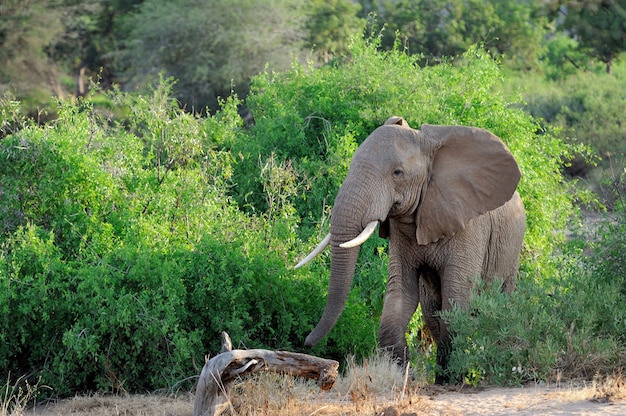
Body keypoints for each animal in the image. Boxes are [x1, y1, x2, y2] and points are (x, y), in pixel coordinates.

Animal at [294, 116, 524, 384]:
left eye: (397, 173)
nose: (307, 343)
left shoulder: (470, 227)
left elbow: (456, 299)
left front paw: (452, 380)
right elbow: (401, 294)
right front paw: (407, 376)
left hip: (511, 253)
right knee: (432, 314)